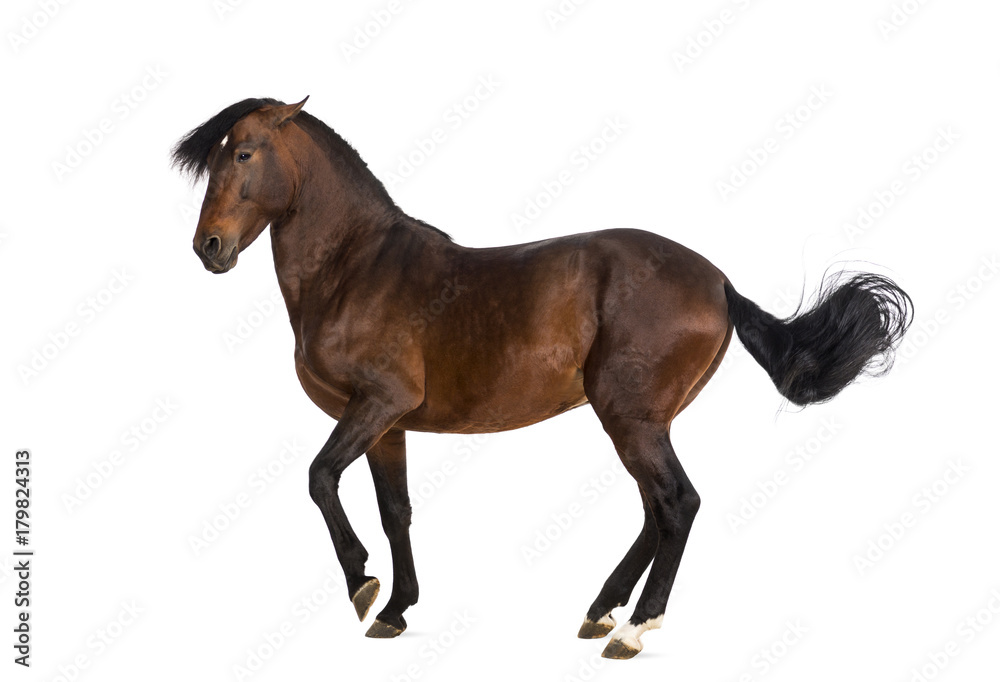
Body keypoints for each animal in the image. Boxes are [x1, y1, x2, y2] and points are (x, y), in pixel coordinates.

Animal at [173, 97, 912, 659]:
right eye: (215, 157)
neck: (356, 270)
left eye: (244, 154)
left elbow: (320, 478)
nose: (208, 247)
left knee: (678, 503)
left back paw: (633, 631)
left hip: (628, 416)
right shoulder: (388, 426)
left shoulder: (376, 404)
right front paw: (397, 609)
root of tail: (720, 283)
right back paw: (601, 611)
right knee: (657, 509)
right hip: (640, 421)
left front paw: (362, 584)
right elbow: (395, 511)